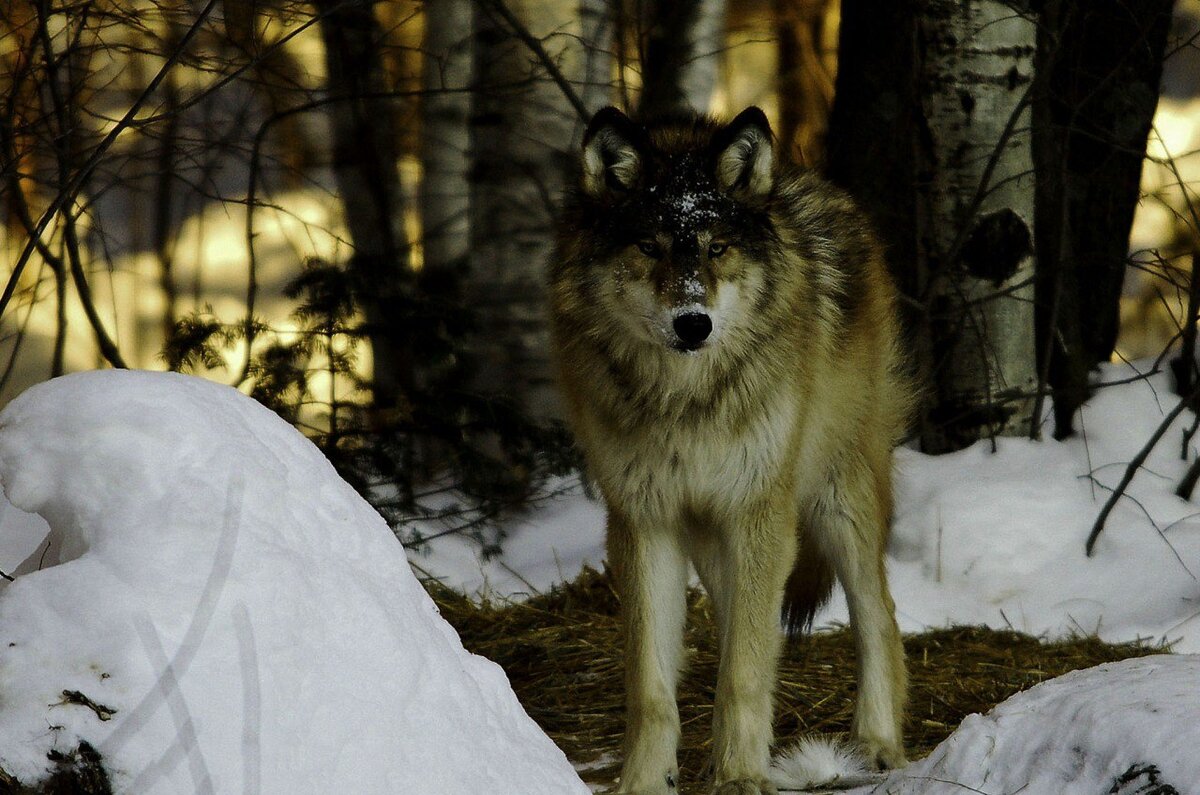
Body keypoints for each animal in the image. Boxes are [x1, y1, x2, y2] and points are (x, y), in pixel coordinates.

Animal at [549, 107, 907, 795]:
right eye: (650, 247)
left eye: (717, 248)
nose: (693, 322)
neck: (686, 401)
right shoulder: (644, 520)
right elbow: (652, 685)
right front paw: (645, 781)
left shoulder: (757, 513)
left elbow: (743, 671)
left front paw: (741, 776)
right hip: (719, 538)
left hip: (833, 499)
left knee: (878, 618)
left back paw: (877, 743)